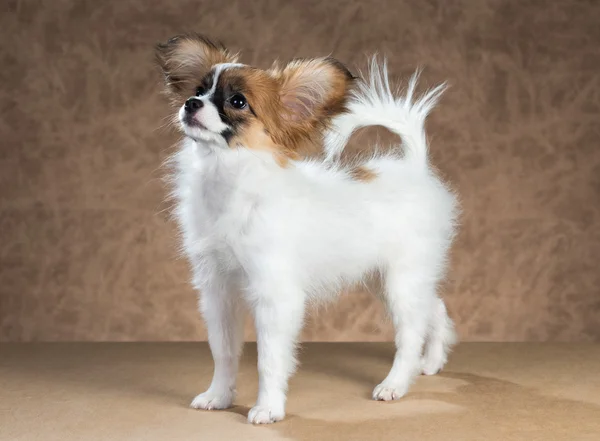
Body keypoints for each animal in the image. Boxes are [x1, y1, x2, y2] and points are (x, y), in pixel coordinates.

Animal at [156, 34, 460, 422]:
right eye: (198, 89)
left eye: (238, 101)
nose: (191, 104)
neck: (230, 179)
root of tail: (415, 168)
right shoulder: (218, 290)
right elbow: (223, 352)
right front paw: (218, 396)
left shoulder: (275, 295)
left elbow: (269, 359)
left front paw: (268, 408)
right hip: (386, 278)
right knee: (433, 310)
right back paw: (432, 361)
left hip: (400, 281)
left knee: (410, 334)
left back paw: (395, 384)